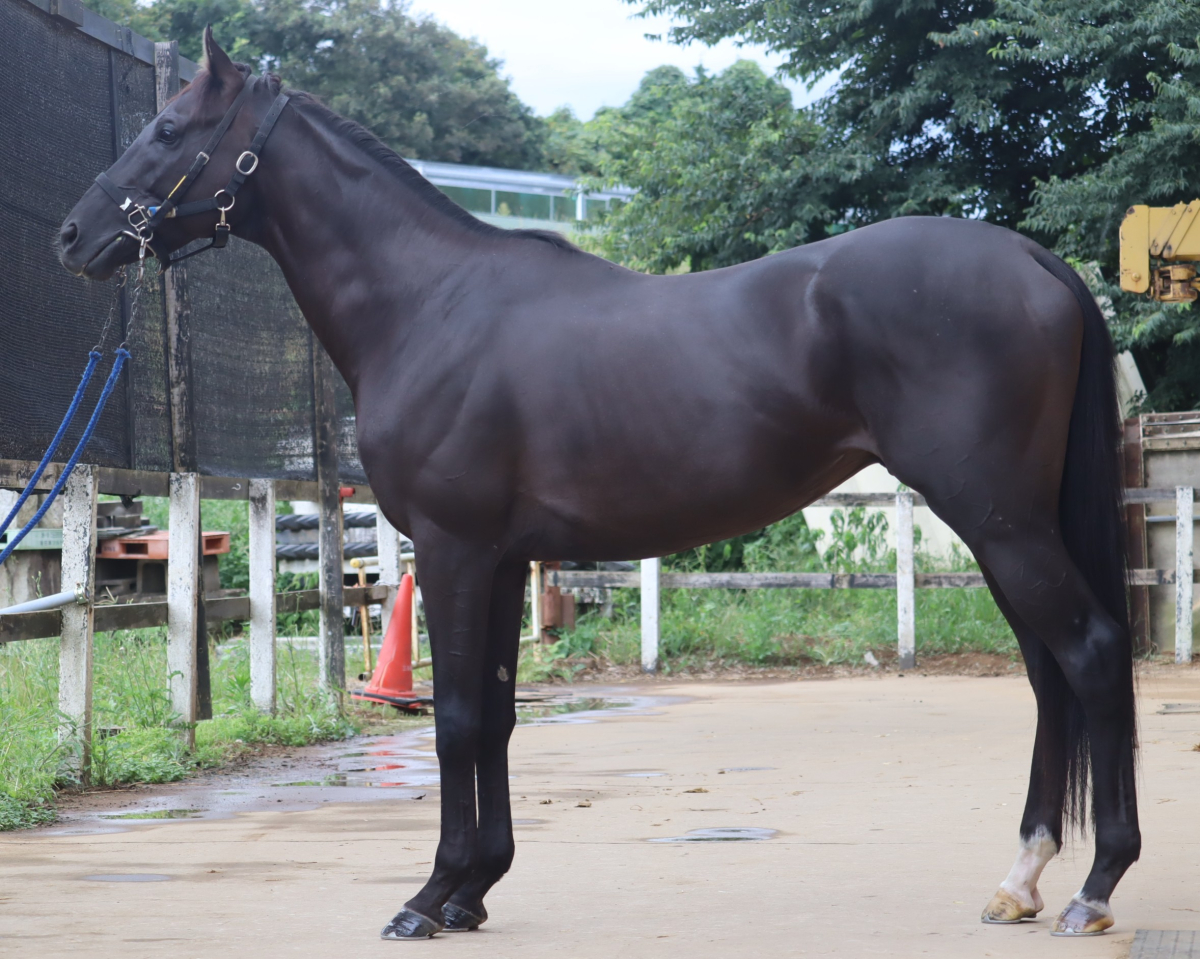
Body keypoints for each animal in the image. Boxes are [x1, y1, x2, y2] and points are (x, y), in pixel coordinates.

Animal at [59, 28, 1139, 941]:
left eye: (168, 128)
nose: (73, 236)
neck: (428, 303)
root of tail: (1036, 257)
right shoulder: (502, 560)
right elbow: (495, 714)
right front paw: (473, 889)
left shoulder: (453, 551)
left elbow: (454, 719)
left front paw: (427, 896)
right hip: (1007, 524)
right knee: (1049, 672)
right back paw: (1022, 876)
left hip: (998, 519)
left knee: (1087, 653)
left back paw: (1093, 886)